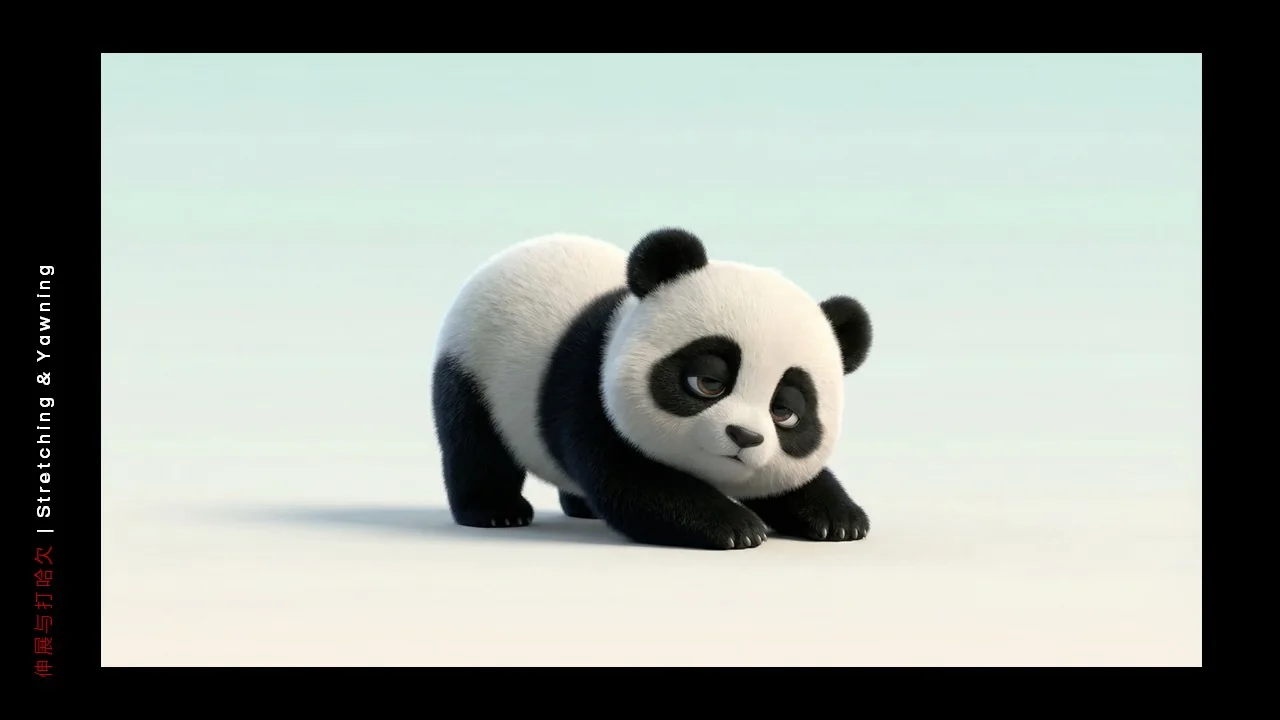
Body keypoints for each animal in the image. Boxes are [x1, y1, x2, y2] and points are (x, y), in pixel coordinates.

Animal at [431, 227, 873, 551]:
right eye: (708, 383)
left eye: (785, 411)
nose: (744, 436)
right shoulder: (587, 391)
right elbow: (634, 482)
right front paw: (735, 526)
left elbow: (792, 481)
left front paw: (840, 518)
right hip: (471, 365)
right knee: (474, 443)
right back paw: (496, 511)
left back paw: (580, 507)